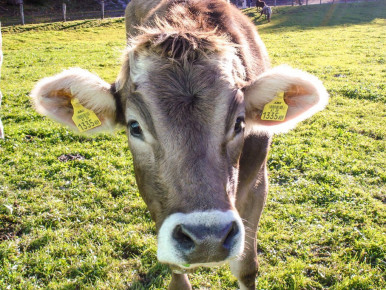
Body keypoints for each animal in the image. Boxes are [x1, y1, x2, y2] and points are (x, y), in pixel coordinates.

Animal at [30, 1, 328, 288]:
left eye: (239, 123)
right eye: (134, 127)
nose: (208, 238)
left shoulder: (257, 183)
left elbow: (246, 267)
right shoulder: (153, 195)